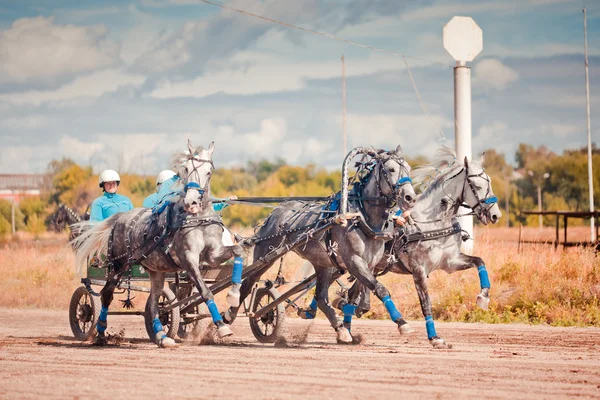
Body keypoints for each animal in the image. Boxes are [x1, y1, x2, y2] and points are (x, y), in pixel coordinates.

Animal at [73, 141, 244, 346]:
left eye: (209, 171)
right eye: (187, 168)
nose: (192, 202)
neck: (198, 219)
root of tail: (120, 218)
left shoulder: (213, 255)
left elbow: (238, 251)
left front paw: (234, 296)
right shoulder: (189, 259)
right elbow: (205, 291)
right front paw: (222, 325)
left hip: (156, 271)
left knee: (154, 302)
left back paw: (161, 336)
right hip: (118, 265)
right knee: (107, 294)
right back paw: (99, 333)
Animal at [225, 147, 418, 344]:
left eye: (409, 169)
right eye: (391, 169)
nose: (410, 198)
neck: (362, 217)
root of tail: (275, 212)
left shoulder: (369, 264)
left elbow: (365, 293)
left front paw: (353, 311)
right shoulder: (354, 261)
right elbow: (379, 288)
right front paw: (403, 324)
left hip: (322, 264)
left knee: (321, 298)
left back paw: (339, 328)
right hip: (266, 255)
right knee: (248, 284)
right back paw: (229, 317)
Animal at [338, 150, 502, 346]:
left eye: (489, 181)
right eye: (476, 186)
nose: (495, 215)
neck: (432, 223)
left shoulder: (450, 262)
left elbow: (480, 262)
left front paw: (483, 297)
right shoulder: (418, 270)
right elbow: (426, 303)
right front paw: (434, 337)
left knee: (352, 295)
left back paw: (347, 331)